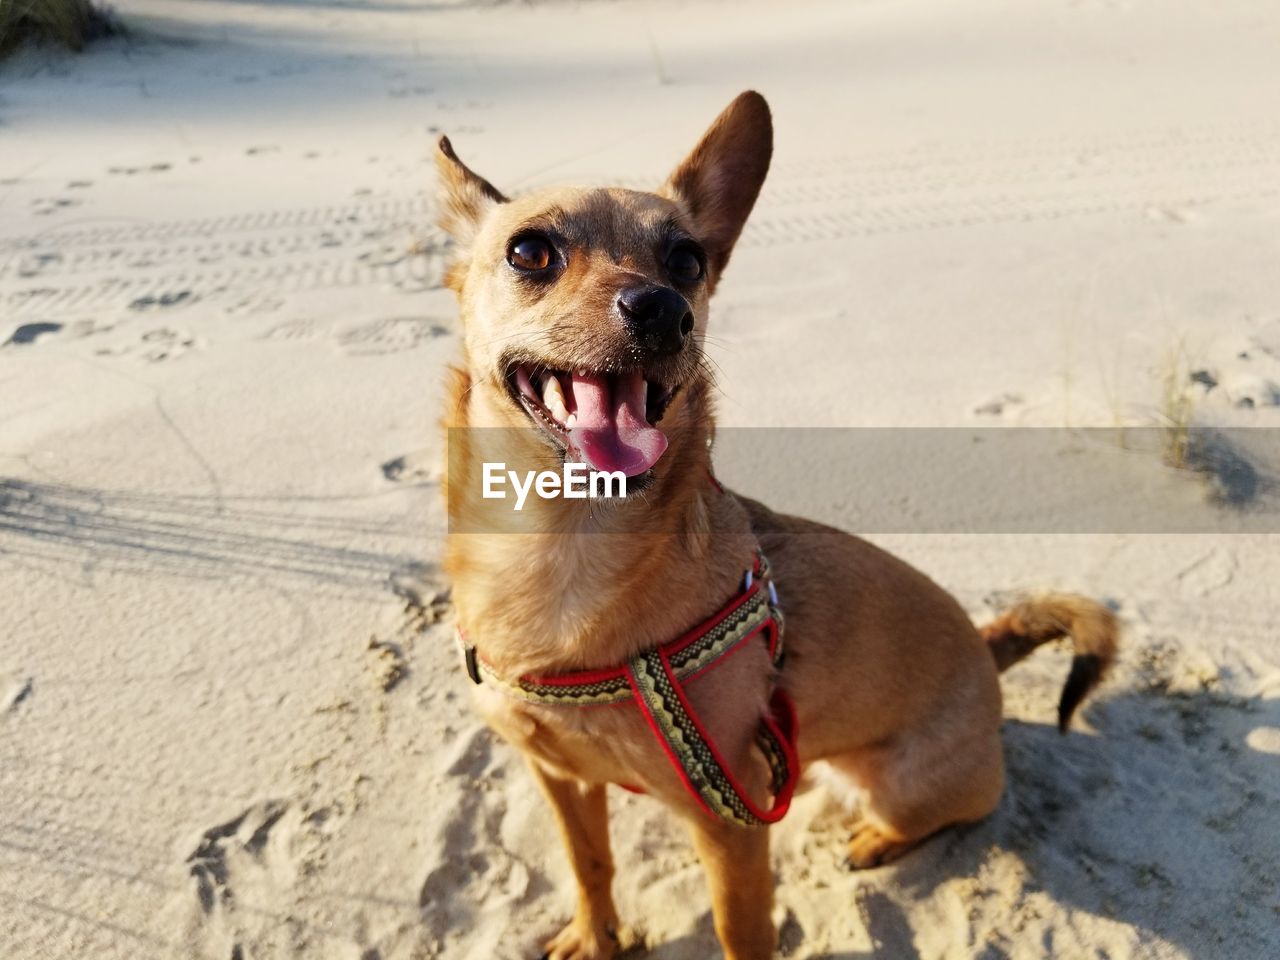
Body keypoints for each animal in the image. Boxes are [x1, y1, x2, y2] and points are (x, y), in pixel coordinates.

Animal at [435, 92, 1116, 960]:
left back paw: (879, 840)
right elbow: (589, 862)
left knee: (951, 811)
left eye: (689, 262)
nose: (663, 309)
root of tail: (986, 650)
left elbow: (741, 926)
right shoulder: (560, 776)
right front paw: (596, 935)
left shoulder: (730, 820)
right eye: (529, 251)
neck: (561, 551)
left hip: (901, 785)